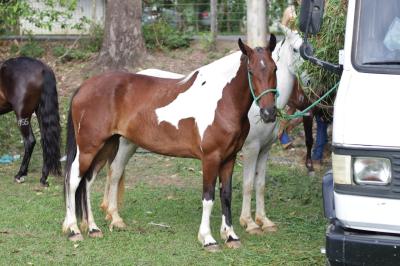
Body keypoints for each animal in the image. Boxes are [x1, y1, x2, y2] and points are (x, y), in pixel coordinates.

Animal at [0, 56, 61, 185]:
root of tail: (43, 68)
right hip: (39, 111)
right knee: (45, 141)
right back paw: (43, 178)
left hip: (22, 116)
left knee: (29, 141)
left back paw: (20, 174)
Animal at [63, 37, 278, 249]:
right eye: (251, 71)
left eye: (274, 69)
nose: (269, 113)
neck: (222, 100)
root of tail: (83, 87)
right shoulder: (210, 158)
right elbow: (208, 197)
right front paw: (207, 238)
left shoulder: (229, 158)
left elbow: (226, 195)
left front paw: (231, 236)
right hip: (89, 148)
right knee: (73, 180)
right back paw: (74, 230)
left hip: (106, 147)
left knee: (88, 182)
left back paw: (93, 228)